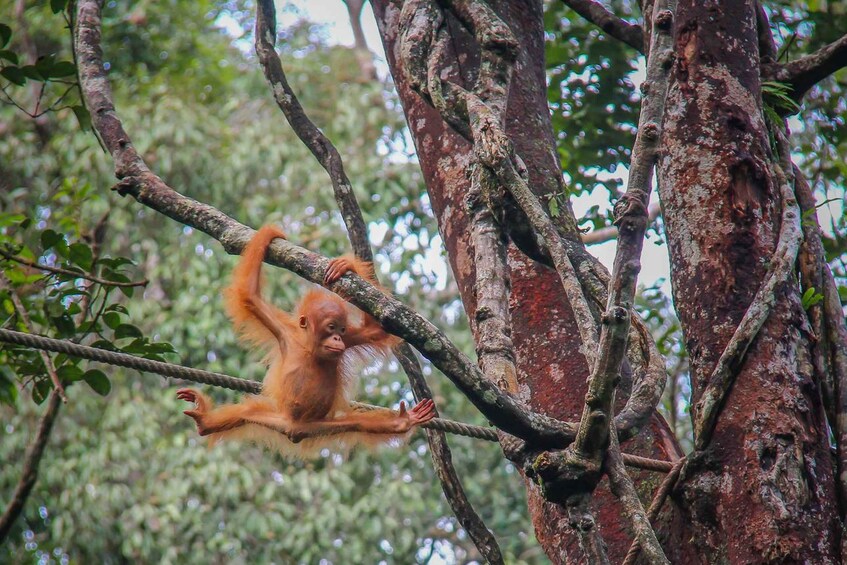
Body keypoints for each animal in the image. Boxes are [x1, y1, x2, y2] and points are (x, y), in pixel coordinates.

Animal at [176, 225, 436, 458]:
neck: (310, 347)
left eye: (341, 329)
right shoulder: (283, 330)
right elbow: (249, 296)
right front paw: (269, 233)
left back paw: (401, 422)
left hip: (319, 426)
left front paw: (346, 265)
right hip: (276, 419)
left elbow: (378, 327)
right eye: (331, 327)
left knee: (358, 424)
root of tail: (294, 430)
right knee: (244, 413)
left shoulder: (352, 338)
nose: (337, 338)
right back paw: (206, 421)